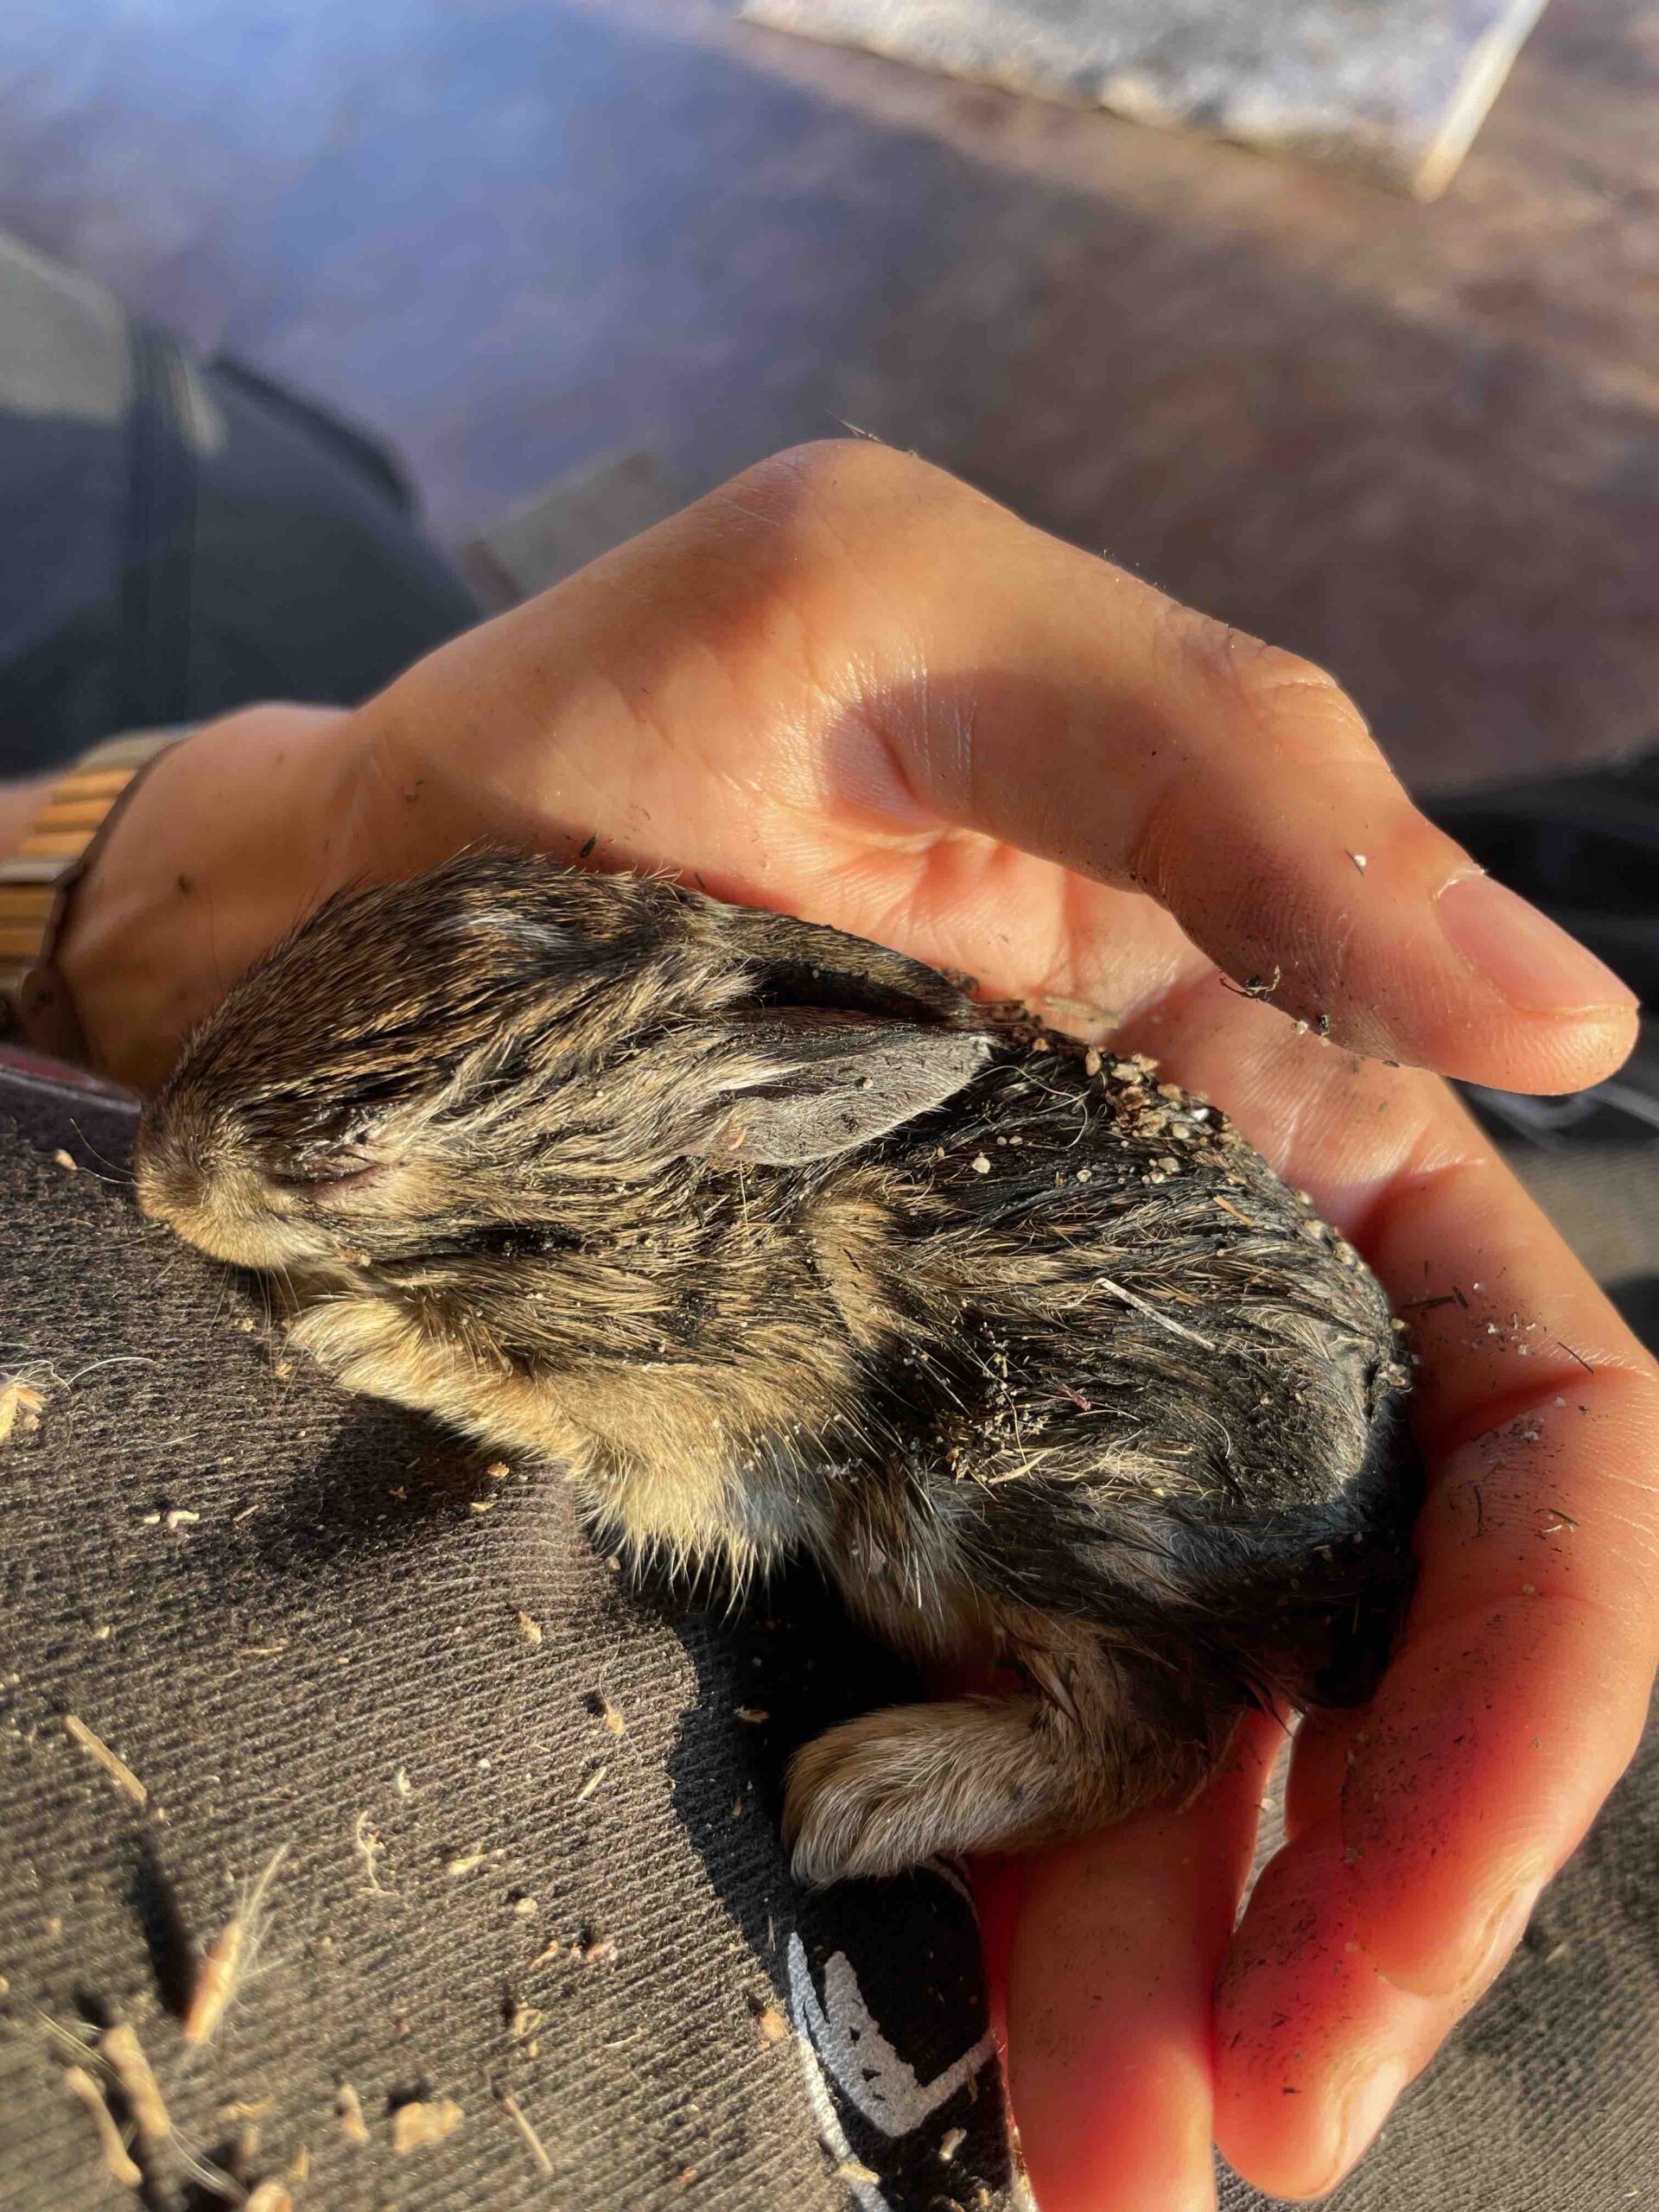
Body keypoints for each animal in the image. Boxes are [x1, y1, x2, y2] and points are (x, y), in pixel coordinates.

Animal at [134, 850, 1417, 1884]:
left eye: (337, 1161)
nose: (157, 1168)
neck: (678, 1210)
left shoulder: (697, 1422)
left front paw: (350, 1328)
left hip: (1008, 1508)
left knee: (1150, 1735)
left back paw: (854, 1800)